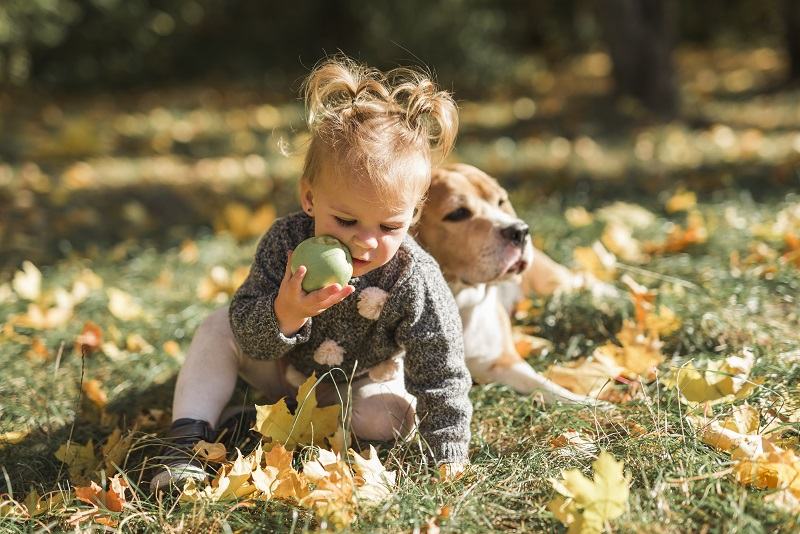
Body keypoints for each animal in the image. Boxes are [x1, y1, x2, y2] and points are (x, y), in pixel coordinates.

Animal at [416, 163, 604, 406]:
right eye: (457, 213)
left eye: (501, 201)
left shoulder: (505, 362)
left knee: (583, 280)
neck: (459, 298)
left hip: (553, 281)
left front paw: (594, 405)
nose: (520, 231)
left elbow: (547, 385)